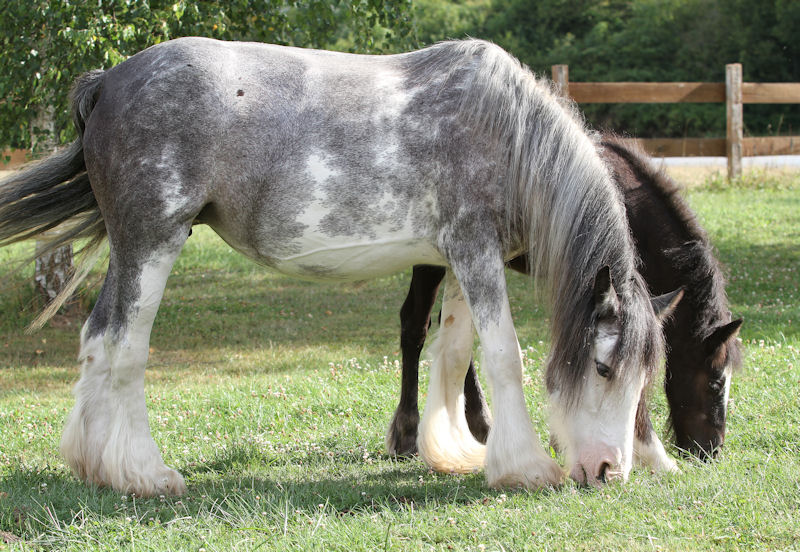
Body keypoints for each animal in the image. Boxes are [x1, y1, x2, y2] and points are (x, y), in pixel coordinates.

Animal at [0, 38, 676, 496]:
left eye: (646, 376)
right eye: (602, 366)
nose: (608, 470)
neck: (507, 133)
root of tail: (108, 80)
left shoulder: (461, 258)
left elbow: (457, 353)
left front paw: (456, 452)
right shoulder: (474, 250)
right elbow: (504, 355)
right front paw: (529, 468)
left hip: (130, 247)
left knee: (97, 339)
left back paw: (97, 467)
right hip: (152, 242)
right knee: (125, 346)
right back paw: (143, 473)